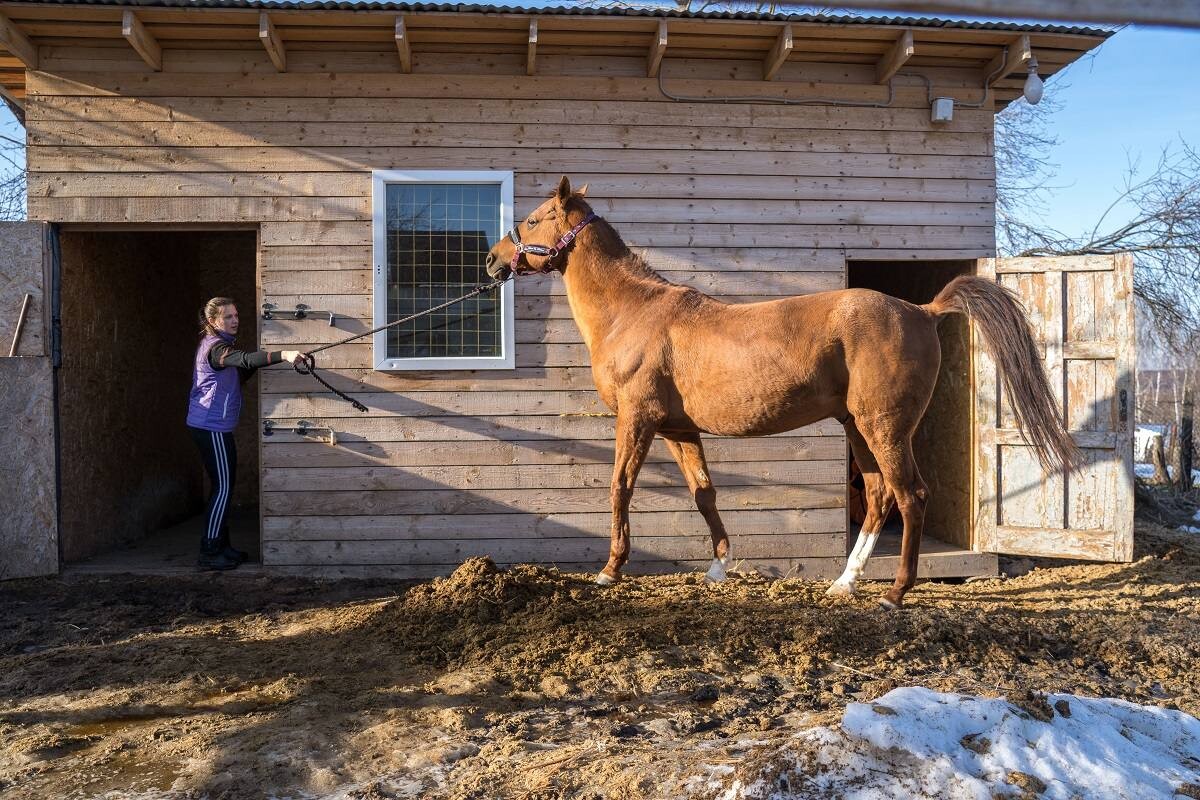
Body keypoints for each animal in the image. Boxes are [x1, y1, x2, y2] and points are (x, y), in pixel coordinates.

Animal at [487, 178, 1080, 609]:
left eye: (535, 218)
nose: (493, 260)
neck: (634, 311)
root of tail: (922, 310)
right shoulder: (679, 429)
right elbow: (704, 494)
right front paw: (718, 567)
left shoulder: (637, 419)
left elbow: (620, 489)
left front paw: (609, 571)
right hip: (857, 428)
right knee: (878, 496)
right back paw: (844, 582)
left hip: (885, 427)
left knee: (910, 496)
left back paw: (894, 593)